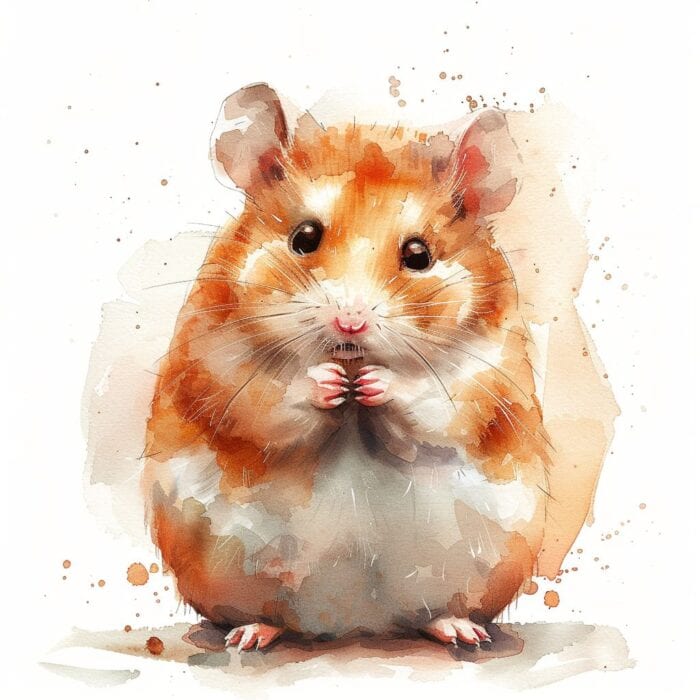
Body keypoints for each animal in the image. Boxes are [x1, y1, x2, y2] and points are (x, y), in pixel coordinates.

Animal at [142, 83, 553, 651]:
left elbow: (432, 404)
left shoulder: (486, 375)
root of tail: (352, 624)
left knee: (429, 613)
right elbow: (272, 400)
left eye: (419, 254)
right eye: (304, 237)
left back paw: (462, 632)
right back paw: (250, 634)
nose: (350, 322)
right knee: (270, 614)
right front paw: (329, 383)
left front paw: (375, 383)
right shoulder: (216, 365)